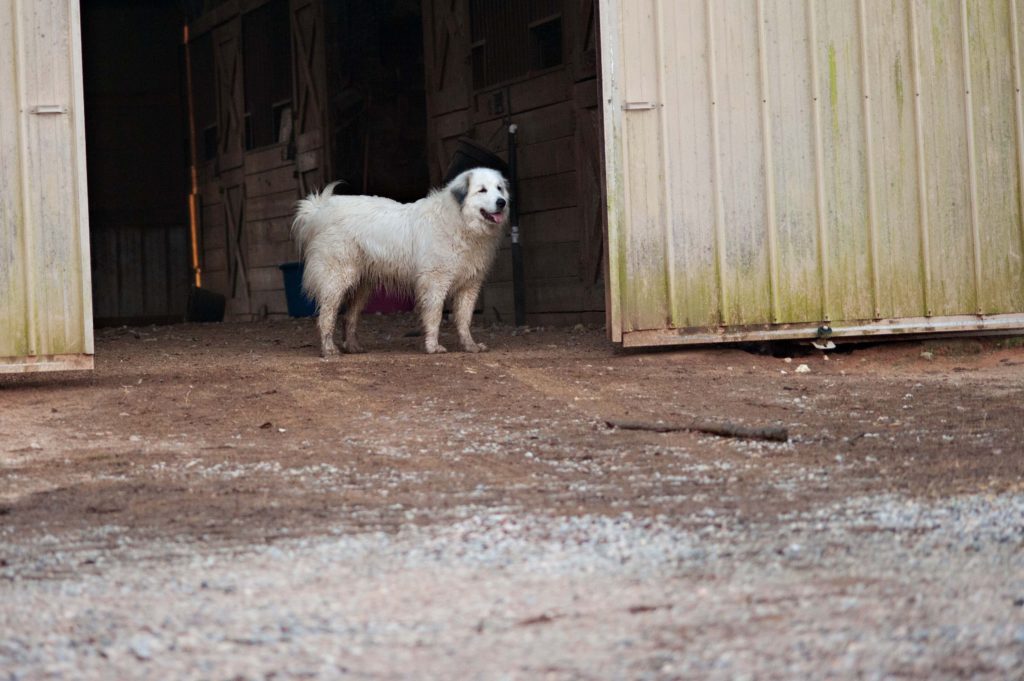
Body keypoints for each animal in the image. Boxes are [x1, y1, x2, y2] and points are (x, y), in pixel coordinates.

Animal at [290, 166, 509, 356]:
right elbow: (435, 316)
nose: (502, 202)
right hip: (337, 278)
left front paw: (470, 345)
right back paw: (329, 349)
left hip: (361, 286)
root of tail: (319, 209)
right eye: (482, 190)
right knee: (327, 316)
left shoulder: (470, 285)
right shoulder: (435, 282)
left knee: (349, 318)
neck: (460, 221)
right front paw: (433, 347)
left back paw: (352, 347)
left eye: (499, 188)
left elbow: (464, 320)